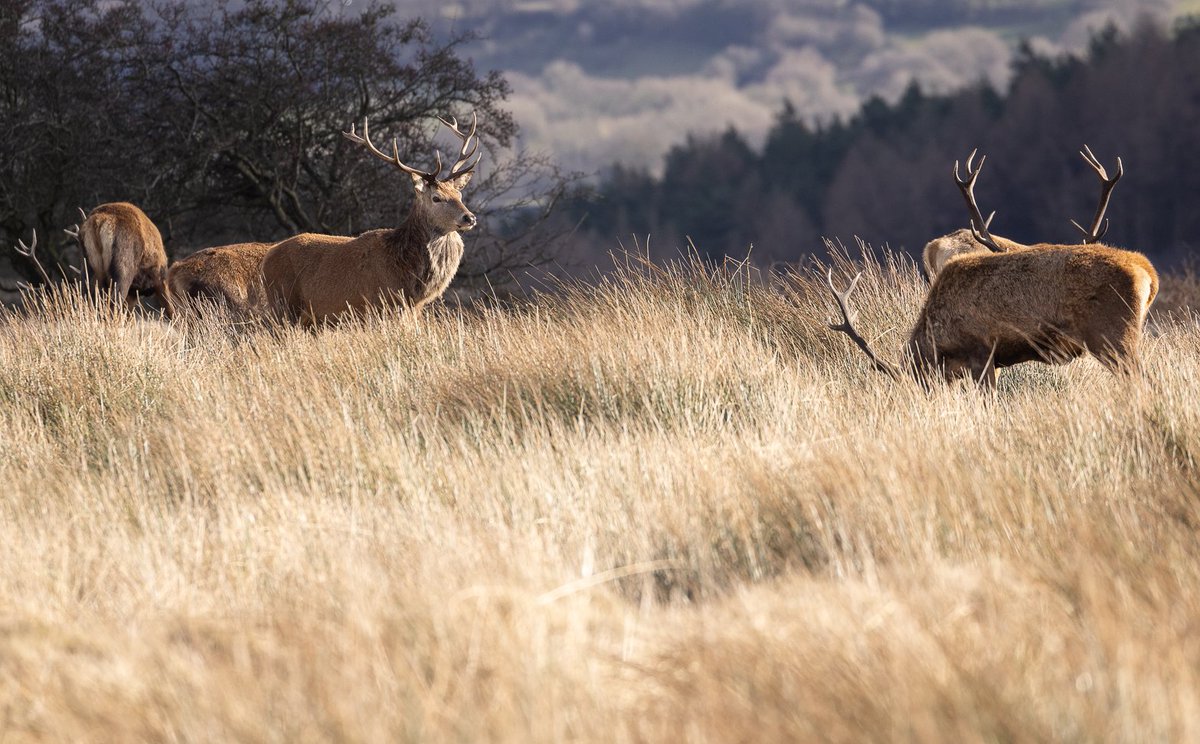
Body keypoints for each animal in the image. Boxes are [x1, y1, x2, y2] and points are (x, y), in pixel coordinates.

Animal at [261, 113, 480, 325]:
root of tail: (267, 258)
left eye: (459, 194)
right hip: (284, 303)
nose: (469, 217)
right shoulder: (379, 303)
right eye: (436, 198)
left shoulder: (410, 309)